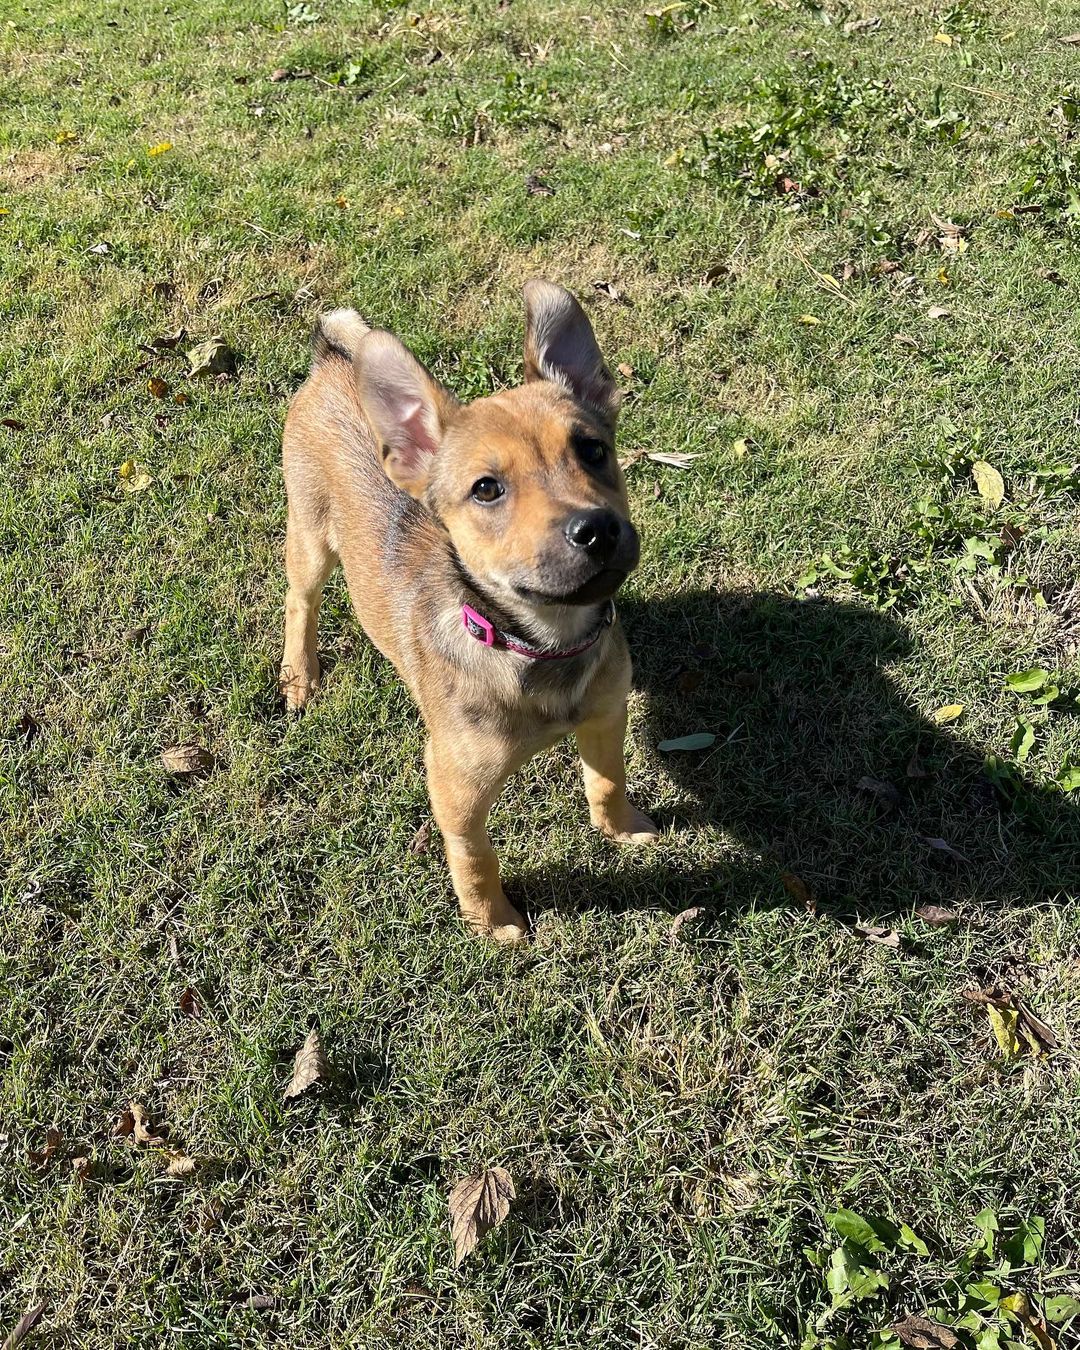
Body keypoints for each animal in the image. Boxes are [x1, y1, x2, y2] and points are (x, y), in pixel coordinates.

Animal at [278, 280, 658, 945]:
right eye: (486, 489)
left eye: (593, 451)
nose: (597, 529)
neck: (542, 645)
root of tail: (333, 361)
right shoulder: (456, 787)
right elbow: (475, 854)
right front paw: (492, 920)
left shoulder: (607, 717)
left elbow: (608, 779)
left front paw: (622, 828)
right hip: (311, 535)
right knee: (301, 600)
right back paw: (300, 674)